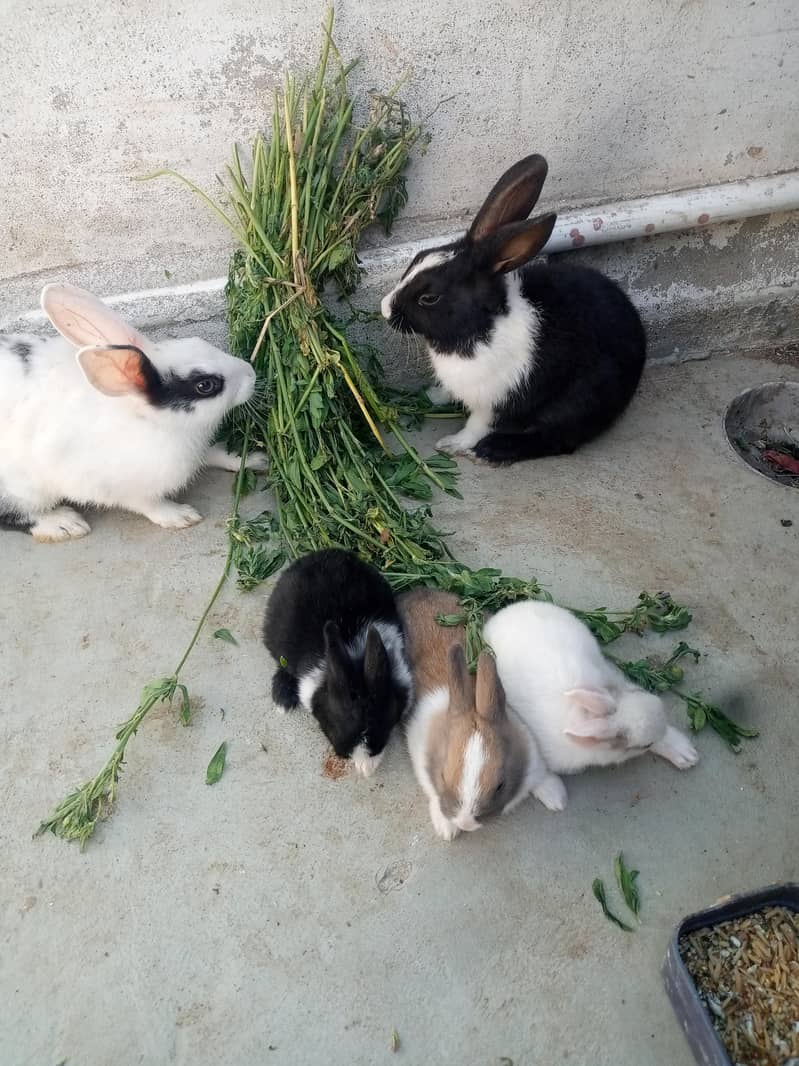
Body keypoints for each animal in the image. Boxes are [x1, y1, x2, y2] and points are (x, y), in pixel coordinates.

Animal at [0, 282, 266, 542]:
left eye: (199, 340)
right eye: (205, 385)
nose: (251, 372)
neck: (151, 421)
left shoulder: (199, 450)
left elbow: (216, 453)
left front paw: (255, 459)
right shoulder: (118, 487)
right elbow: (147, 504)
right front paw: (180, 516)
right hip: (22, 491)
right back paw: (64, 524)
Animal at [262, 548, 413, 777]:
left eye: (385, 723)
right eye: (333, 728)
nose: (366, 770)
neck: (354, 655)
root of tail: (321, 554)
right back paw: (283, 699)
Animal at [380, 154, 646, 466]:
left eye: (429, 298)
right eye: (418, 257)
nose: (384, 309)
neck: (481, 326)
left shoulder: (494, 400)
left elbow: (476, 425)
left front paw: (453, 444)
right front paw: (430, 395)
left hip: (579, 401)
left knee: (556, 439)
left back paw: (491, 450)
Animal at [398, 588, 566, 841]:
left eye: (500, 785)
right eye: (443, 776)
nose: (466, 823)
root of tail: (420, 591)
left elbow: (540, 774)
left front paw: (556, 798)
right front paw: (447, 830)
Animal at [483, 600, 700, 797]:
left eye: (638, 692)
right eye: (643, 746)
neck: (582, 715)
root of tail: (507, 612)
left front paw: (685, 754)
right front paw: (555, 796)